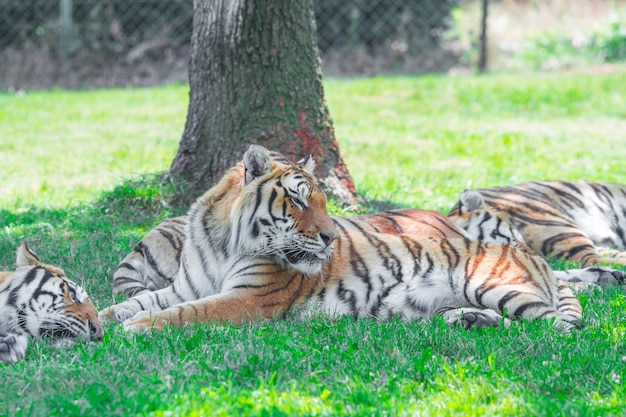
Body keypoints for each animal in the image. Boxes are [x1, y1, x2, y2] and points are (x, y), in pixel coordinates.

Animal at [97, 145, 580, 334]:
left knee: (556, 327)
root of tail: (536, 259)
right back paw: (472, 321)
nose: (330, 238)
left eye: (325, 202)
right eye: (297, 199)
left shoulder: (250, 299)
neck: (223, 241)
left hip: (494, 284)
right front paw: (93, 318)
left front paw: (138, 327)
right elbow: (128, 302)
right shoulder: (182, 287)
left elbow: (190, 312)